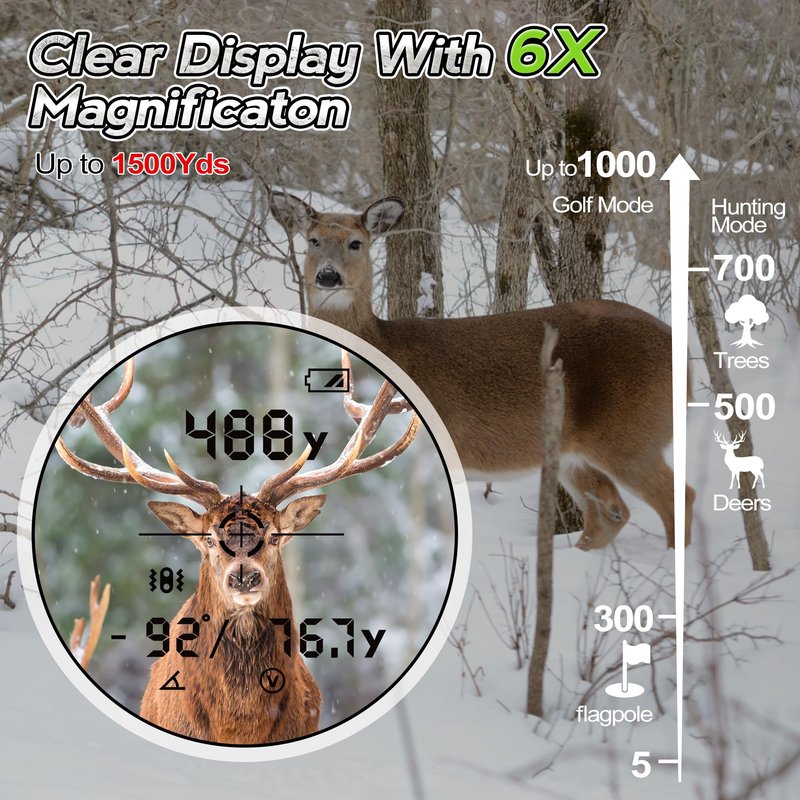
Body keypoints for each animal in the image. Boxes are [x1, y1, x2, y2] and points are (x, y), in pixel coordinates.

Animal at [270, 192, 695, 551]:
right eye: (312, 240)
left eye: (356, 243)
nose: (327, 276)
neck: (383, 339)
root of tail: (685, 361)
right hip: (577, 453)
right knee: (610, 514)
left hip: (630, 435)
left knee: (678, 499)